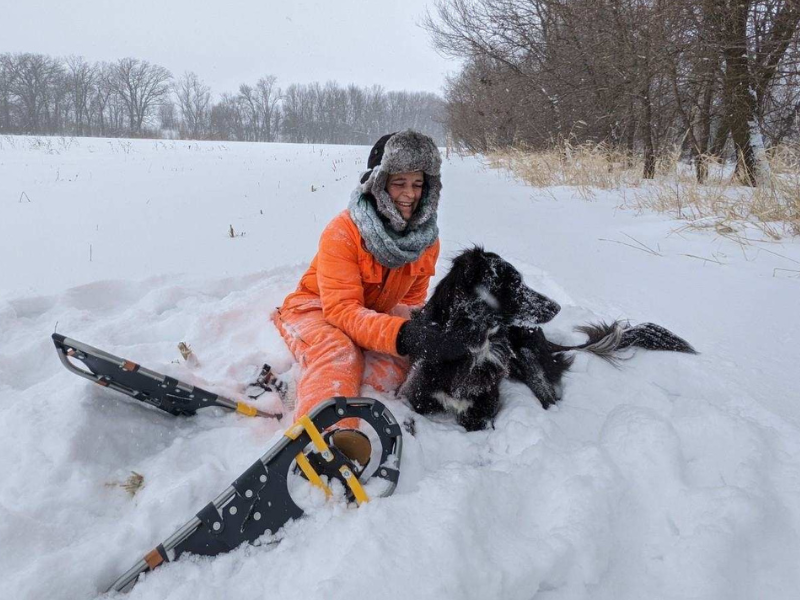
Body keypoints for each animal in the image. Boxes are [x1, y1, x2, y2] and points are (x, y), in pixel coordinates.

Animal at [400, 247, 692, 432]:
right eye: (514, 283)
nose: (556, 307)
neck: (473, 342)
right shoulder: (416, 396)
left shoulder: (483, 408)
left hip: (528, 356)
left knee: (548, 395)